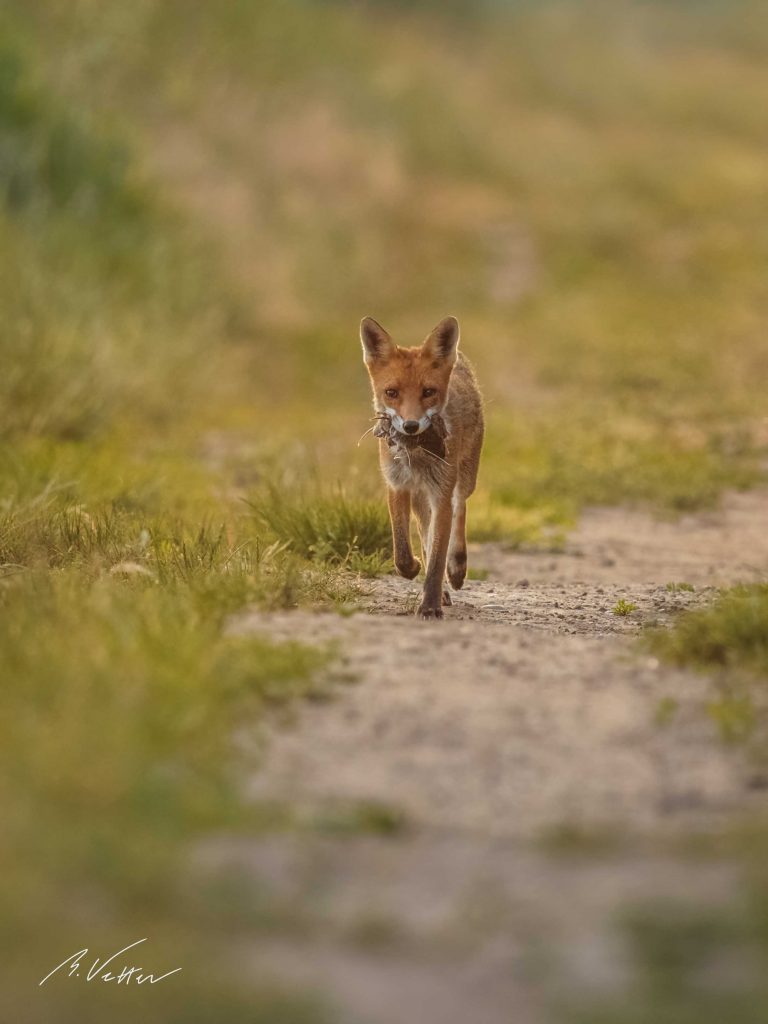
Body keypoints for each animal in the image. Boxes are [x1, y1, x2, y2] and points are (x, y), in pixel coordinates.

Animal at [362, 313, 483, 614]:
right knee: (424, 532)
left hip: (464, 478)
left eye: (428, 391)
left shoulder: (440, 492)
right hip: (420, 496)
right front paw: (414, 569)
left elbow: (438, 557)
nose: (411, 426)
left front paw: (429, 607)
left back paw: (457, 568)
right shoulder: (397, 485)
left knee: (460, 509)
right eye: (391, 392)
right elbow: (404, 551)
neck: (415, 456)